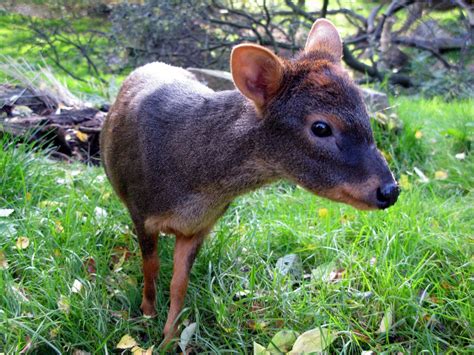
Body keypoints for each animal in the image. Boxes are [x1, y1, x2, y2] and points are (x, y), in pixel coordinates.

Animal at [100, 20, 400, 344]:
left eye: (366, 115)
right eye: (321, 127)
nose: (390, 190)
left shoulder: (201, 226)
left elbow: (179, 285)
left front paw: (170, 338)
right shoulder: (141, 211)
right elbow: (151, 267)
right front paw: (146, 313)